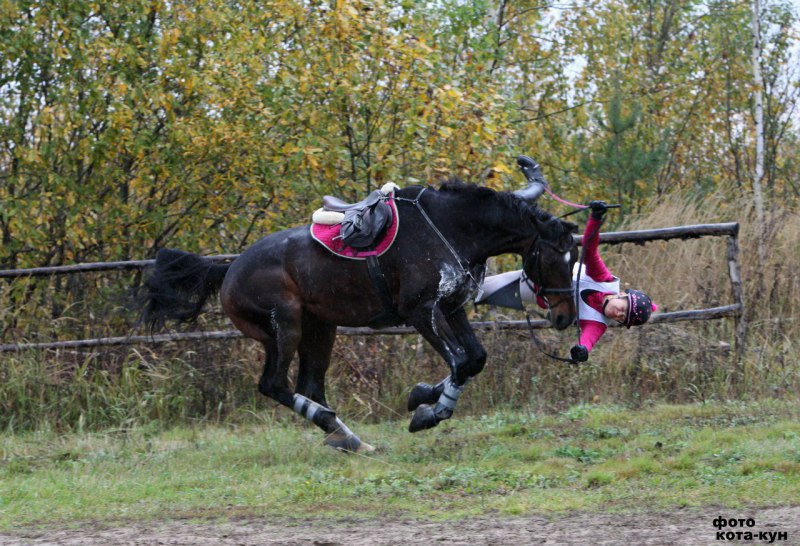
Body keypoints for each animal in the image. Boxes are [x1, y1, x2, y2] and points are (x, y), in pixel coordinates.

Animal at [144, 177, 580, 450]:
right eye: (554, 259)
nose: (565, 318)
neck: (450, 229)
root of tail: (228, 269)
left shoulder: (451, 308)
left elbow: (474, 359)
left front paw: (421, 396)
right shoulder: (422, 313)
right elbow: (460, 363)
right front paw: (429, 413)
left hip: (321, 328)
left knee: (309, 385)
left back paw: (345, 436)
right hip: (284, 326)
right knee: (274, 384)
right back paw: (334, 428)